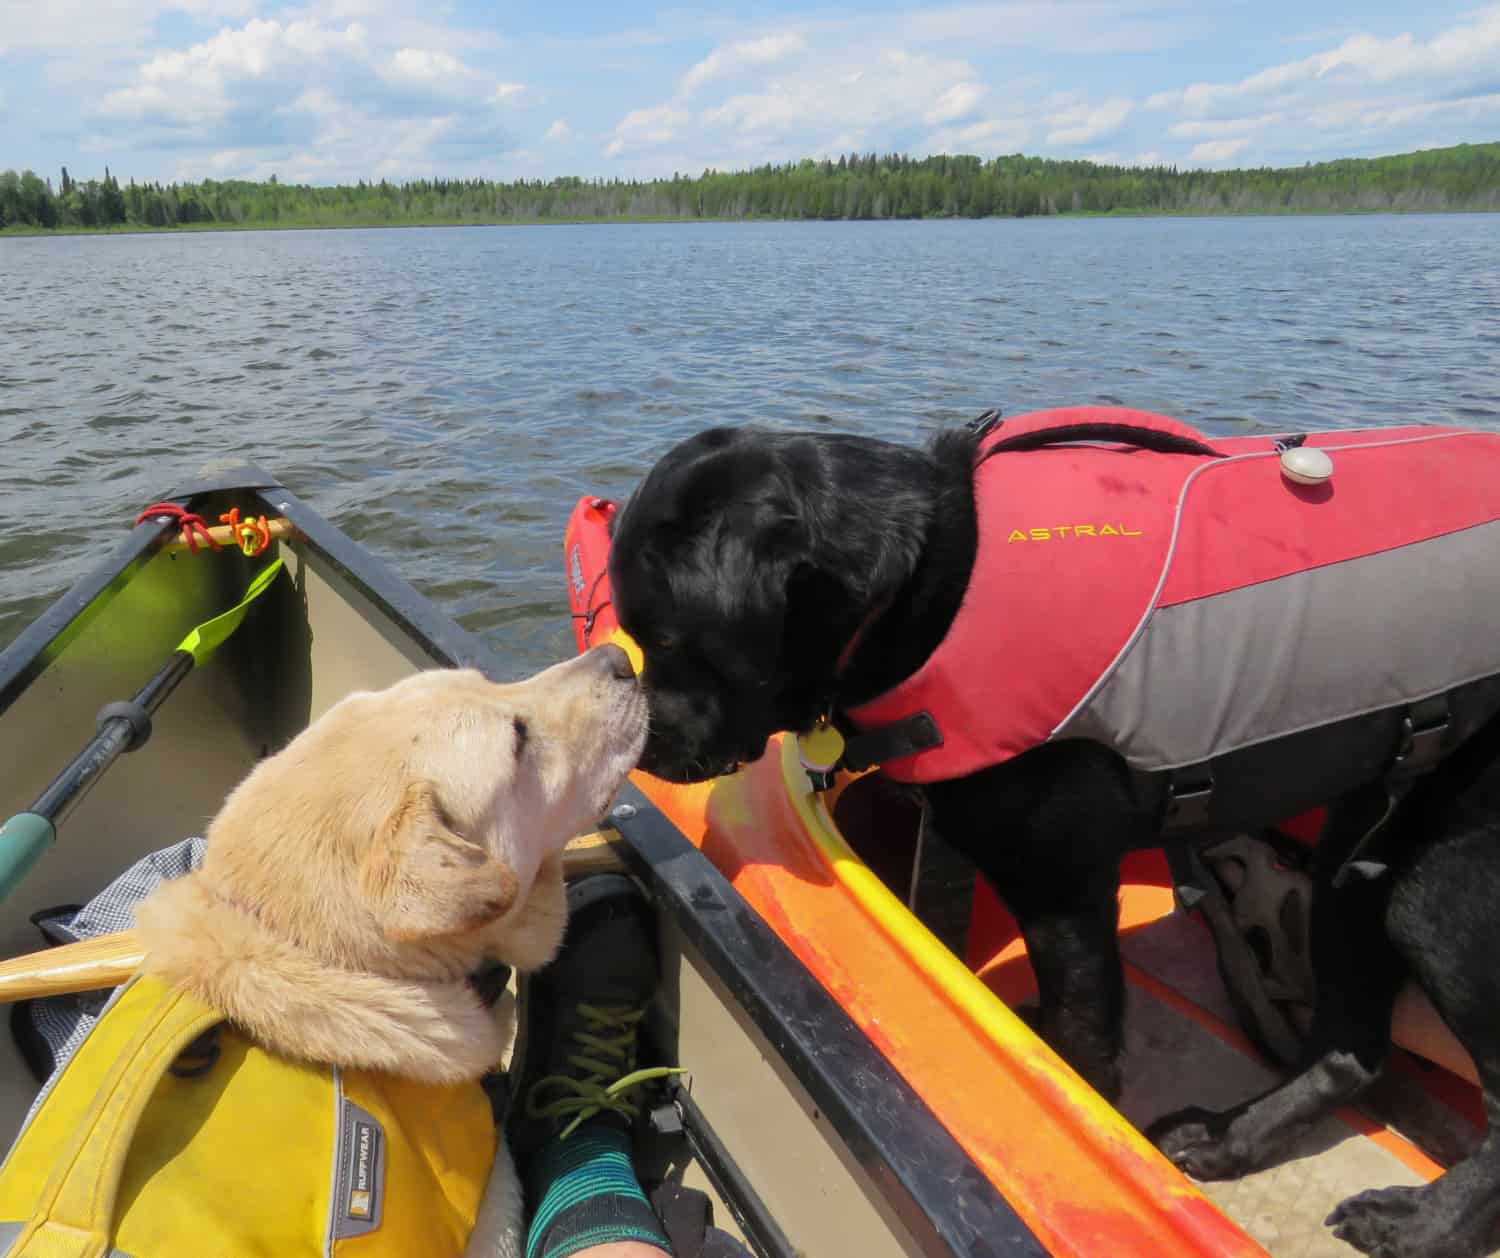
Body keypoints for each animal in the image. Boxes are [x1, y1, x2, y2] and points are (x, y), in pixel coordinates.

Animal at [606, 419, 1500, 1258]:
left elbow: (1081, 1046)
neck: (931, 590)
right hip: (1363, 853)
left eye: (668, 637)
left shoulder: (1064, 894)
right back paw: (1224, 1139)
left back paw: (1420, 1225)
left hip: (1441, 882)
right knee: (1351, 1048)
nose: (640, 749)